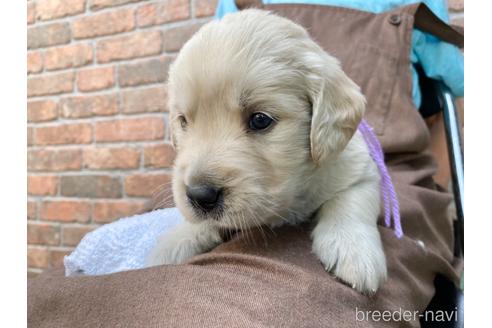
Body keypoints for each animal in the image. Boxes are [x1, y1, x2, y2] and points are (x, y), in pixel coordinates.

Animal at [148, 9, 386, 294]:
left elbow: (351, 200)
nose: (199, 195)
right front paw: (176, 240)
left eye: (260, 120)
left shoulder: (361, 170)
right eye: (183, 121)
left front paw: (353, 249)